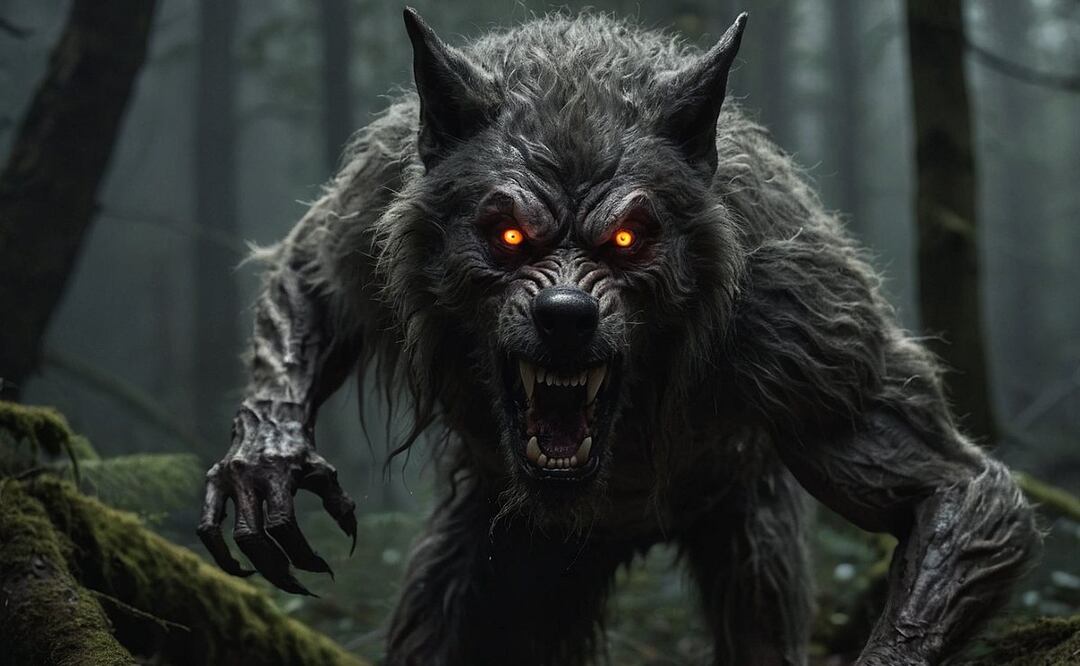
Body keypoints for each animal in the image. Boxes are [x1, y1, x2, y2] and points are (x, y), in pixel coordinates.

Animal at [199, 9, 1038, 665]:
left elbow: (950, 488)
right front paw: (267, 457)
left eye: (629, 240)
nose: (567, 312)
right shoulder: (375, 202)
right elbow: (312, 280)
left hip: (747, 523)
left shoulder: (804, 328)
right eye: (507, 235)